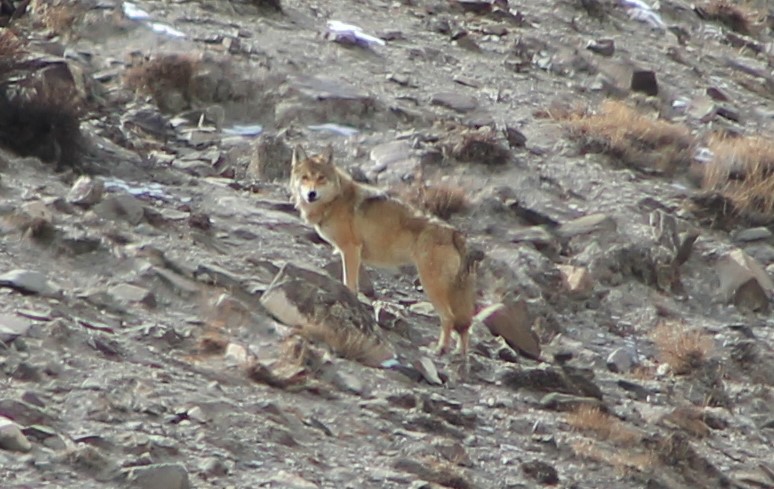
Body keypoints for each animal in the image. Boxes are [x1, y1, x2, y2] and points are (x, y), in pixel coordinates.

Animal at [289, 144, 479, 356]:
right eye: (305, 177)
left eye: (321, 177)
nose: (311, 194)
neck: (335, 201)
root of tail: (454, 233)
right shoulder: (352, 254)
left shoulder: (350, 249)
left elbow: (349, 285)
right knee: (464, 326)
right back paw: (460, 354)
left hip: (432, 285)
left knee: (449, 318)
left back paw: (440, 349)